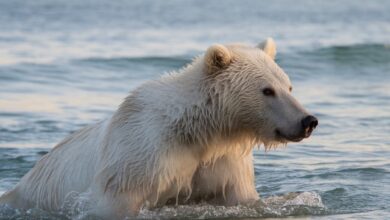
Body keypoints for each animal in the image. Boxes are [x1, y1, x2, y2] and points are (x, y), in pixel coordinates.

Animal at [0, 38, 316, 218]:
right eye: (267, 90)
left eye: (289, 86)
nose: (308, 121)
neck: (197, 131)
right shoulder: (139, 156)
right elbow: (118, 202)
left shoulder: (222, 162)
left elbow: (240, 197)